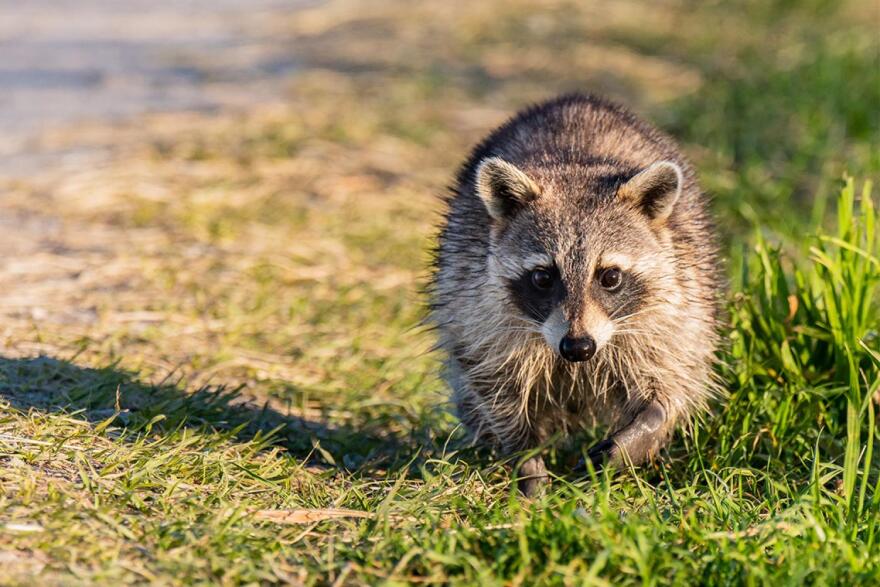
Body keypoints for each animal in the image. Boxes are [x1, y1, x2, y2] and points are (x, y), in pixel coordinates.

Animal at [430, 93, 721, 496]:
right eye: (542, 277)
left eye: (610, 276)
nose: (578, 347)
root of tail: (576, 100)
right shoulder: (475, 307)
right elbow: (496, 387)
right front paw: (526, 458)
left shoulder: (676, 307)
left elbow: (672, 380)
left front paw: (644, 430)